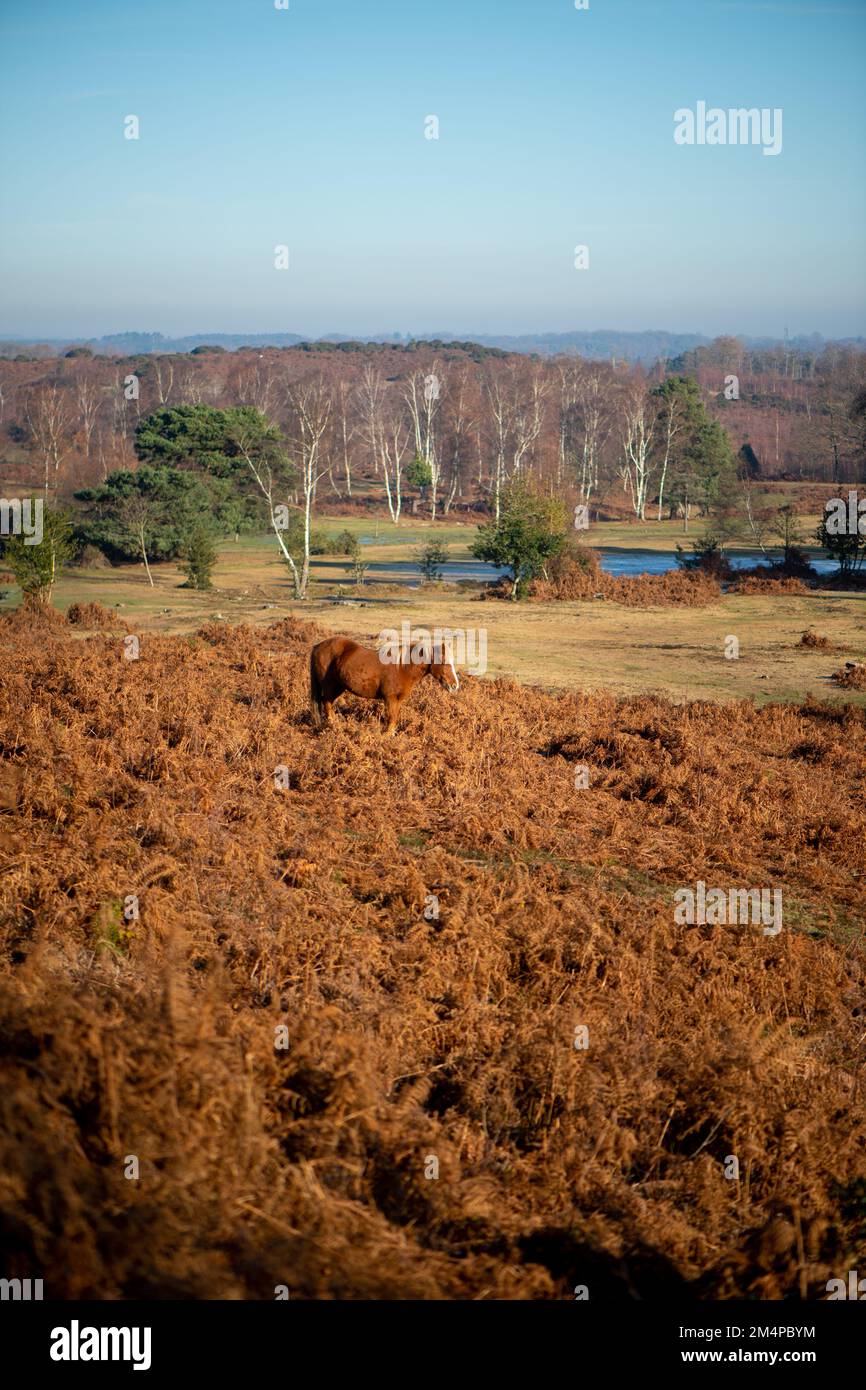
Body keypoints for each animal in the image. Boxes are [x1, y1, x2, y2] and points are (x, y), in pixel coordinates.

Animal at [309, 633, 459, 735]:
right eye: (445, 663)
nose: (455, 686)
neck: (402, 667)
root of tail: (317, 647)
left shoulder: (398, 700)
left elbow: (394, 719)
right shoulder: (390, 698)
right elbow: (391, 719)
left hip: (339, 687)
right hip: (330, 686)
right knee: (327, 703)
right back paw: (333, 726)